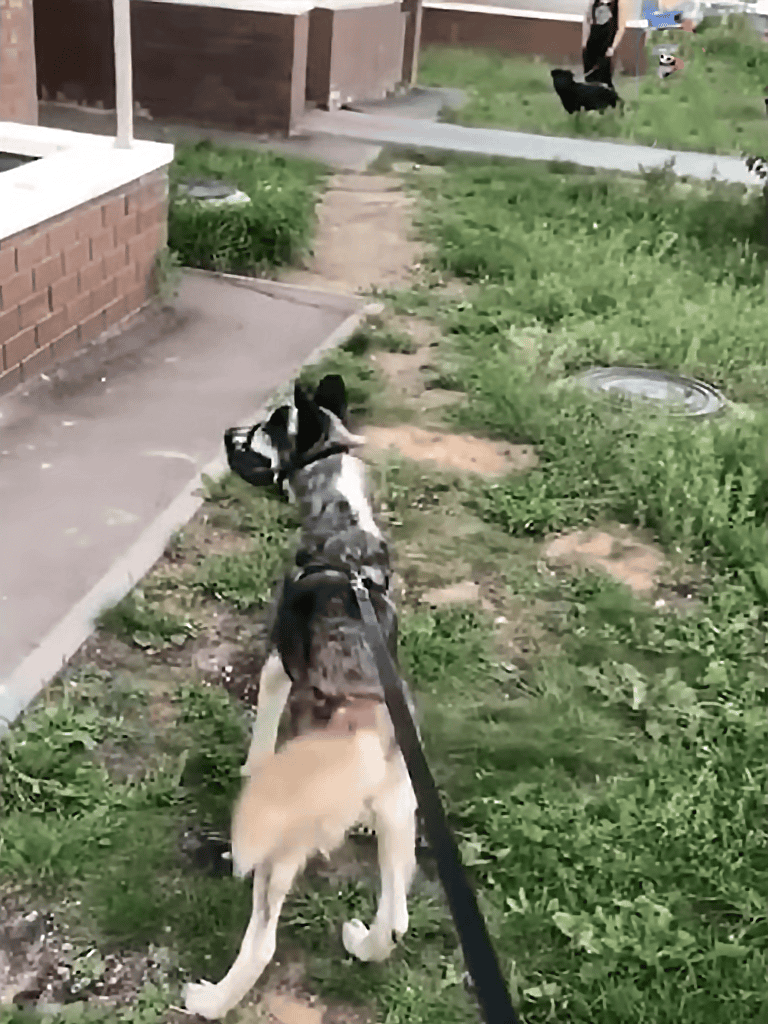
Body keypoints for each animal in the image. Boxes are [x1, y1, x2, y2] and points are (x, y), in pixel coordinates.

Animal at [184, 375, 418, 1020]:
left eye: (268, 428)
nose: (226, 433)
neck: (344, 529)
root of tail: (357, 735)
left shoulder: (274, 667)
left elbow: (262, 734)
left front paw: (252, 766)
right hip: (402, 813)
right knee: (396, 918)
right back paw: (363, 942)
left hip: (281, 858)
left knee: (261, 944)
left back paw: (211, 999)